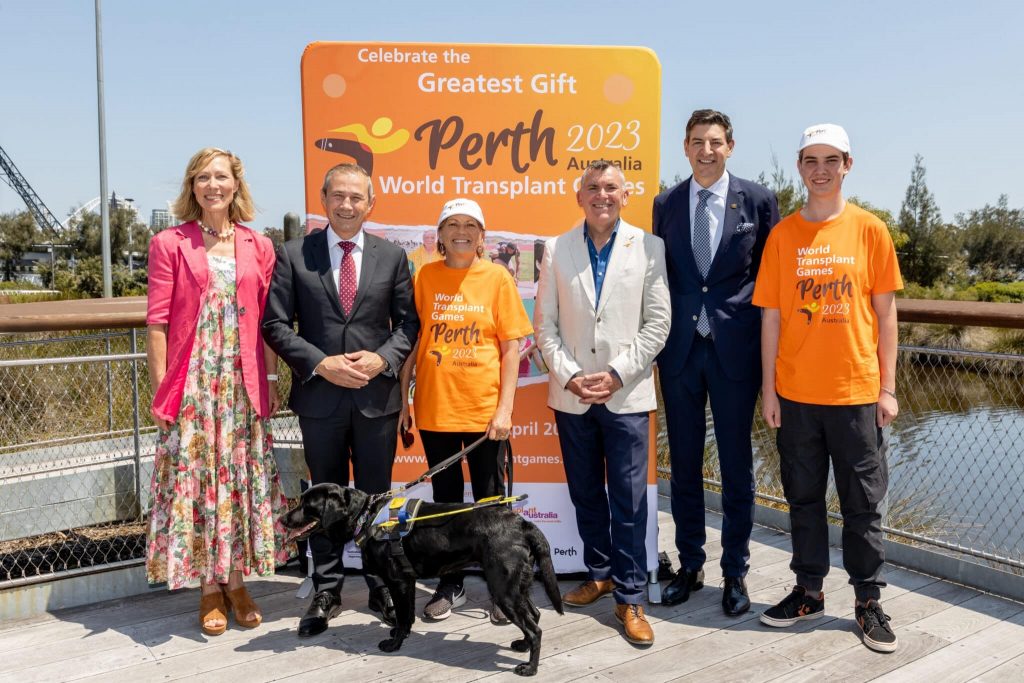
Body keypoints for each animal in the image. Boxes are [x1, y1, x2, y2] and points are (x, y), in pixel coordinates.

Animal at [280, 483, 565, 675]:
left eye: (306, 504)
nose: (282, 518)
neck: (365, 516)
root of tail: (522, 523)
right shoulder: (406, 582)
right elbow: (405, 616)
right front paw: (400, 634)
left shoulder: (398, 581)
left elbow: (403, 616)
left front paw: (394, 643)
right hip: (517, 586)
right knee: (535, 615)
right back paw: (522, 645)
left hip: (503, 589)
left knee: (535, 628)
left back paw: (530, 668)